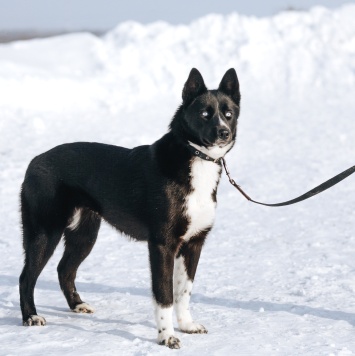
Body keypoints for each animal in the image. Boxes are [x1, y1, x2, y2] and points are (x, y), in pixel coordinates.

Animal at [19, 68, 242, 350]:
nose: (224, 132)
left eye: (228, 113)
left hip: (84, 235)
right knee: (27, 277)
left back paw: (77, 305)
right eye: (205, 113)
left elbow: (183, 292)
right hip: (45, 233)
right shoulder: (162, 245)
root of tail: (34, 161)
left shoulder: (194, 244)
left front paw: (187, 325)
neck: (194, 159)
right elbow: (165, 295)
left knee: (64, 270)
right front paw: (167, 336)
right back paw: (31, 317)